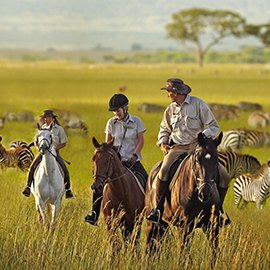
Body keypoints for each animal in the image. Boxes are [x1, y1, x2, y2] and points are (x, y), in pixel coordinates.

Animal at [146, 132, 224, 260]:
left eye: (216, 161)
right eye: (197, 159)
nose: (204, 193)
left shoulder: (212, 226)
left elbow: (215, 252)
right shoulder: (184, 226)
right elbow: (184, 254)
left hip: (164, 224)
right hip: (152, 223)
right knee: (149, 246)